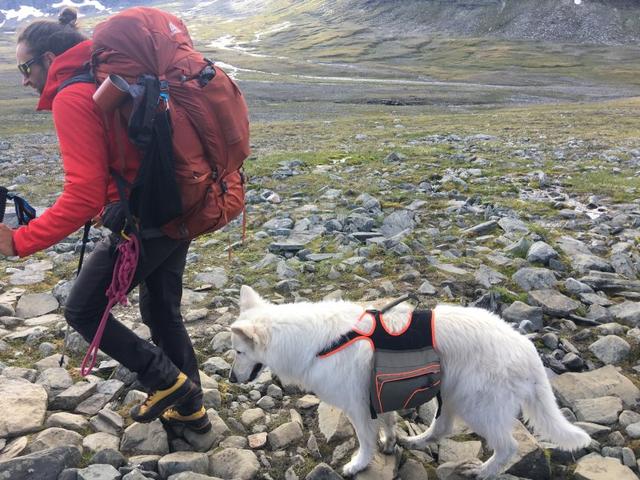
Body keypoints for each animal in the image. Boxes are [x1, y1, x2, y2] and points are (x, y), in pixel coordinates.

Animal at [229, 286, 592, 478]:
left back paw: (483, 472)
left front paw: (358, 464)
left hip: (477, 406)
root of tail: (527, 349)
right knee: (442, 428)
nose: (231, 378)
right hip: (452, 394)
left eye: (238, 351)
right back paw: (417, 442)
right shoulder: (378, 395)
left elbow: (365, 441)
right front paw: (390, 444)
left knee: (508, 447)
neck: (318, 341)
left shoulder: (358, 408)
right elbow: (388, 424)